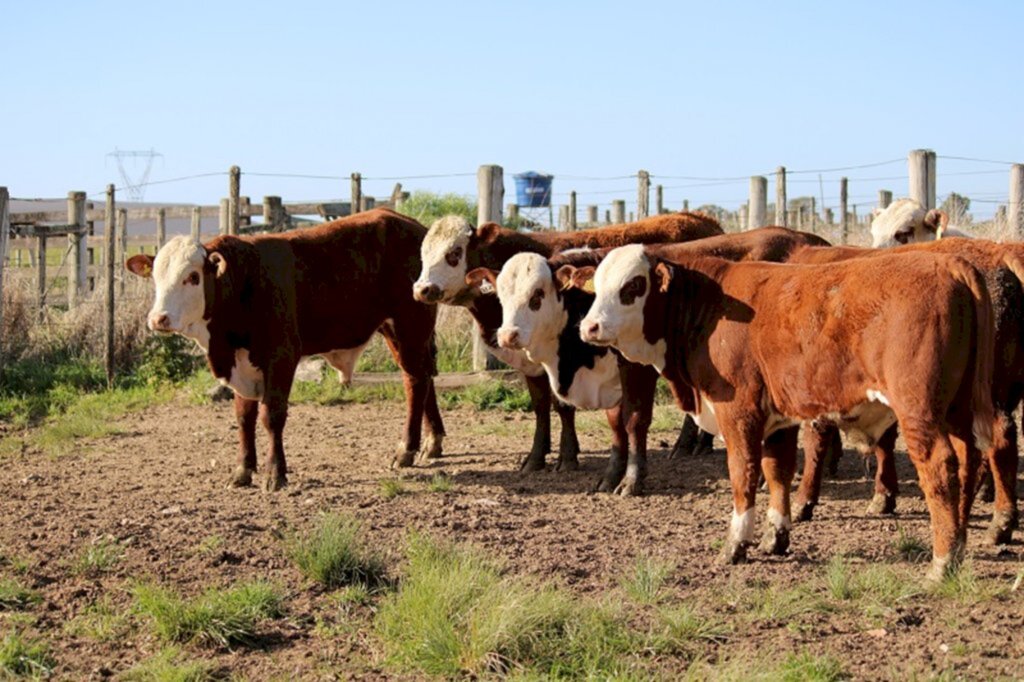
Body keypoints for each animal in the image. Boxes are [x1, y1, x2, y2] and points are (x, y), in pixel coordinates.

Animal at [123, 205, 444, 489]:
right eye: (156, 277)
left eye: (192, 277)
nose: (158, 319)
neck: (243, 284)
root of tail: (411, 224)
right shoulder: (242, 364)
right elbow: (244, 417)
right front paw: (243, 470)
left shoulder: (281, 357)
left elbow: (271, 416)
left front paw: (274, 473)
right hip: (396, 331)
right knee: (424, 377)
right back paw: (432, 442)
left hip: (409, 326)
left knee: (415, 381)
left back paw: (406, 450)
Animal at [411, 209, 724, 471]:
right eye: (423, 254)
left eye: (454, 252)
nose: (422, 289)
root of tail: (699, 217)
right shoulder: (535, 365)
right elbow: (542, 407)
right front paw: (537, 456)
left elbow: (563, 407)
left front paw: (567, 456)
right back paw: (700, 442)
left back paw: (687, 444)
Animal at [475, 228, 835, 493]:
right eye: (502, 295)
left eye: (537, 294)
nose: (508, 335)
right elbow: (615, 423)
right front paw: (611, 475)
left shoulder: (637, 368)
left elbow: (635, 420)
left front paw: (632, 480)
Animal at [581, 241, 995, 577]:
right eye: (597, 287)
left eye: (632, 286)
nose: (589, 327)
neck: (710, 306)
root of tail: (952, 264)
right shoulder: (777, 422)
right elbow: (777, 472)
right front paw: (775, 537)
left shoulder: (739, 413)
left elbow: (743, 475)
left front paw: (735, 545)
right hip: (957, 411)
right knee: (969, 459)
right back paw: (959, 538)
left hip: (919, 411)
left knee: (940, 465)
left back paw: (942, 561)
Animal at [786, 237, 1019, 540]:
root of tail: (999, 254)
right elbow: (884, 441)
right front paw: (884, 496)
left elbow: (816, 443)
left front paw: (803, 502)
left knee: (998, 438)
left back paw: (998, 522)